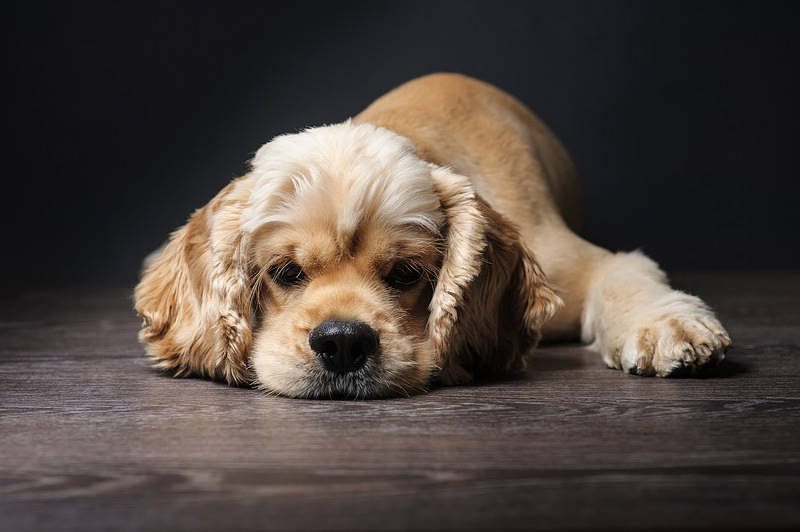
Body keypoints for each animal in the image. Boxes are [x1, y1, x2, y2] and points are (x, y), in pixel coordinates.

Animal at [136, 74, 732, 400]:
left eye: (406, 274)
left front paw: (669, 326)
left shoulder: (572, 261)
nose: (343, 342)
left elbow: (625, 275)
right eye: (285, 272)